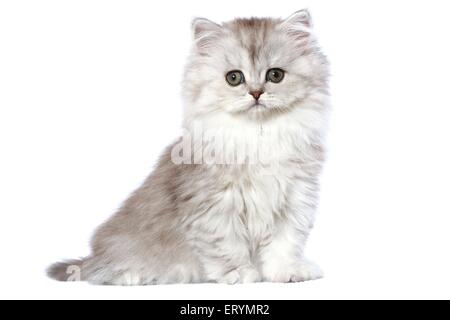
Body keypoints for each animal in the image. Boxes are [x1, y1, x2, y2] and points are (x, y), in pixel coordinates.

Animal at [48, 9, 330, 284]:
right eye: (234, 78)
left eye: (275, 75)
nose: (256, 93)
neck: (259, 135)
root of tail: (93, 257)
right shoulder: (214, 206)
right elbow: (227, 245)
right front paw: (239, 273)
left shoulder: (295, 199)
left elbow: (284, 244)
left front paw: (287, 271)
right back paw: (134, 275)